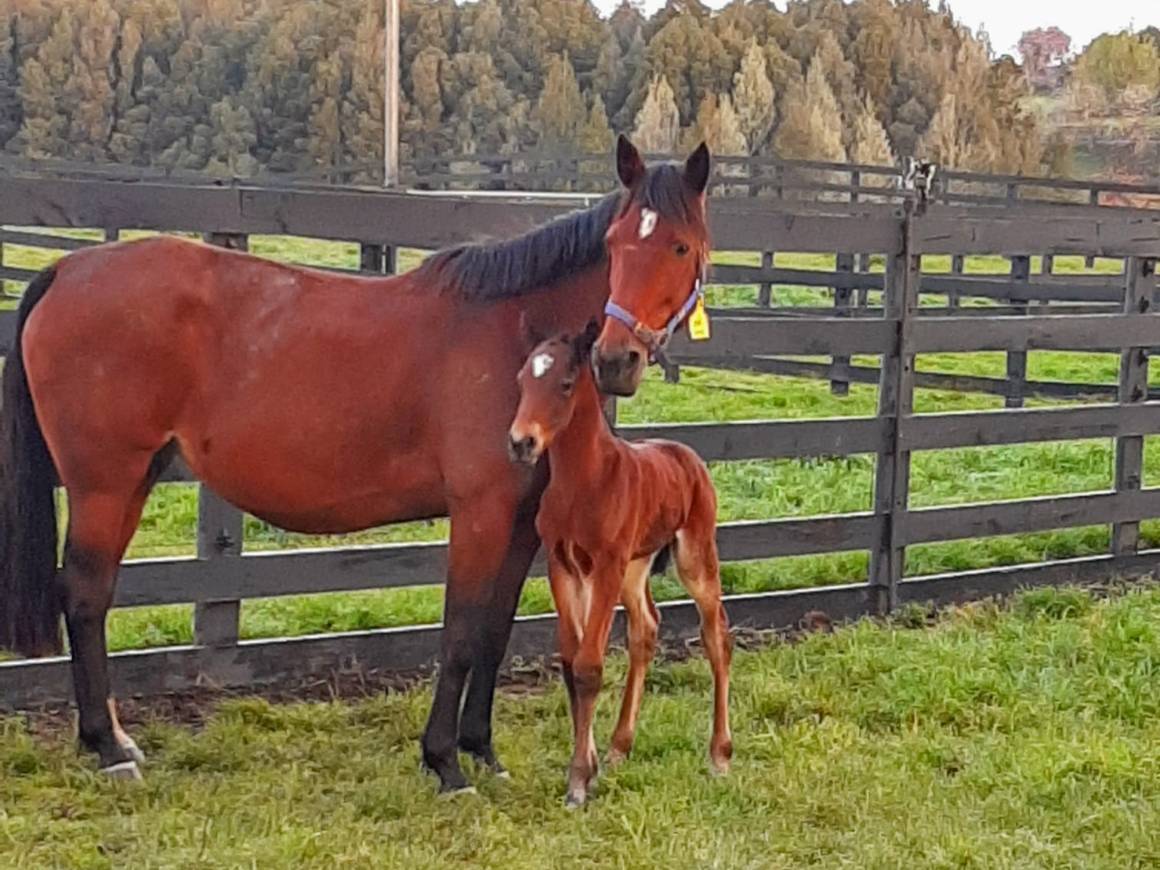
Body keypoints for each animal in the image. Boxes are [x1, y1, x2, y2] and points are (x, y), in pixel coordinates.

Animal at [510, 322, 733, 812]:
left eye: (565, 384)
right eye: (521, 381)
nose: (520, 443)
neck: (583, 482)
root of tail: (686, 454)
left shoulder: (605, 568)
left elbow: (590, 665)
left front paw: (577, 782)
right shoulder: (563, 566)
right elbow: (571, 661)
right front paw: (591, 765)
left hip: (694, 556)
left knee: (716, 636)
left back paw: (720, 753)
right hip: (636, 567)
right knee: (645, 629)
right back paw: (619, 746)